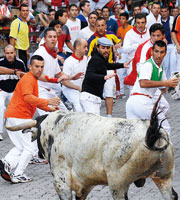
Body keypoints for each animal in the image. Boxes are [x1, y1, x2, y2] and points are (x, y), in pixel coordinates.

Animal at [5, 96, 179, 199]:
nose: (40, 155)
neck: (57, 127)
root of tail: (152, 133)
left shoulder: (61, 182)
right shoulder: (85, 184)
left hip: (118, 185)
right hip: (163, 178)